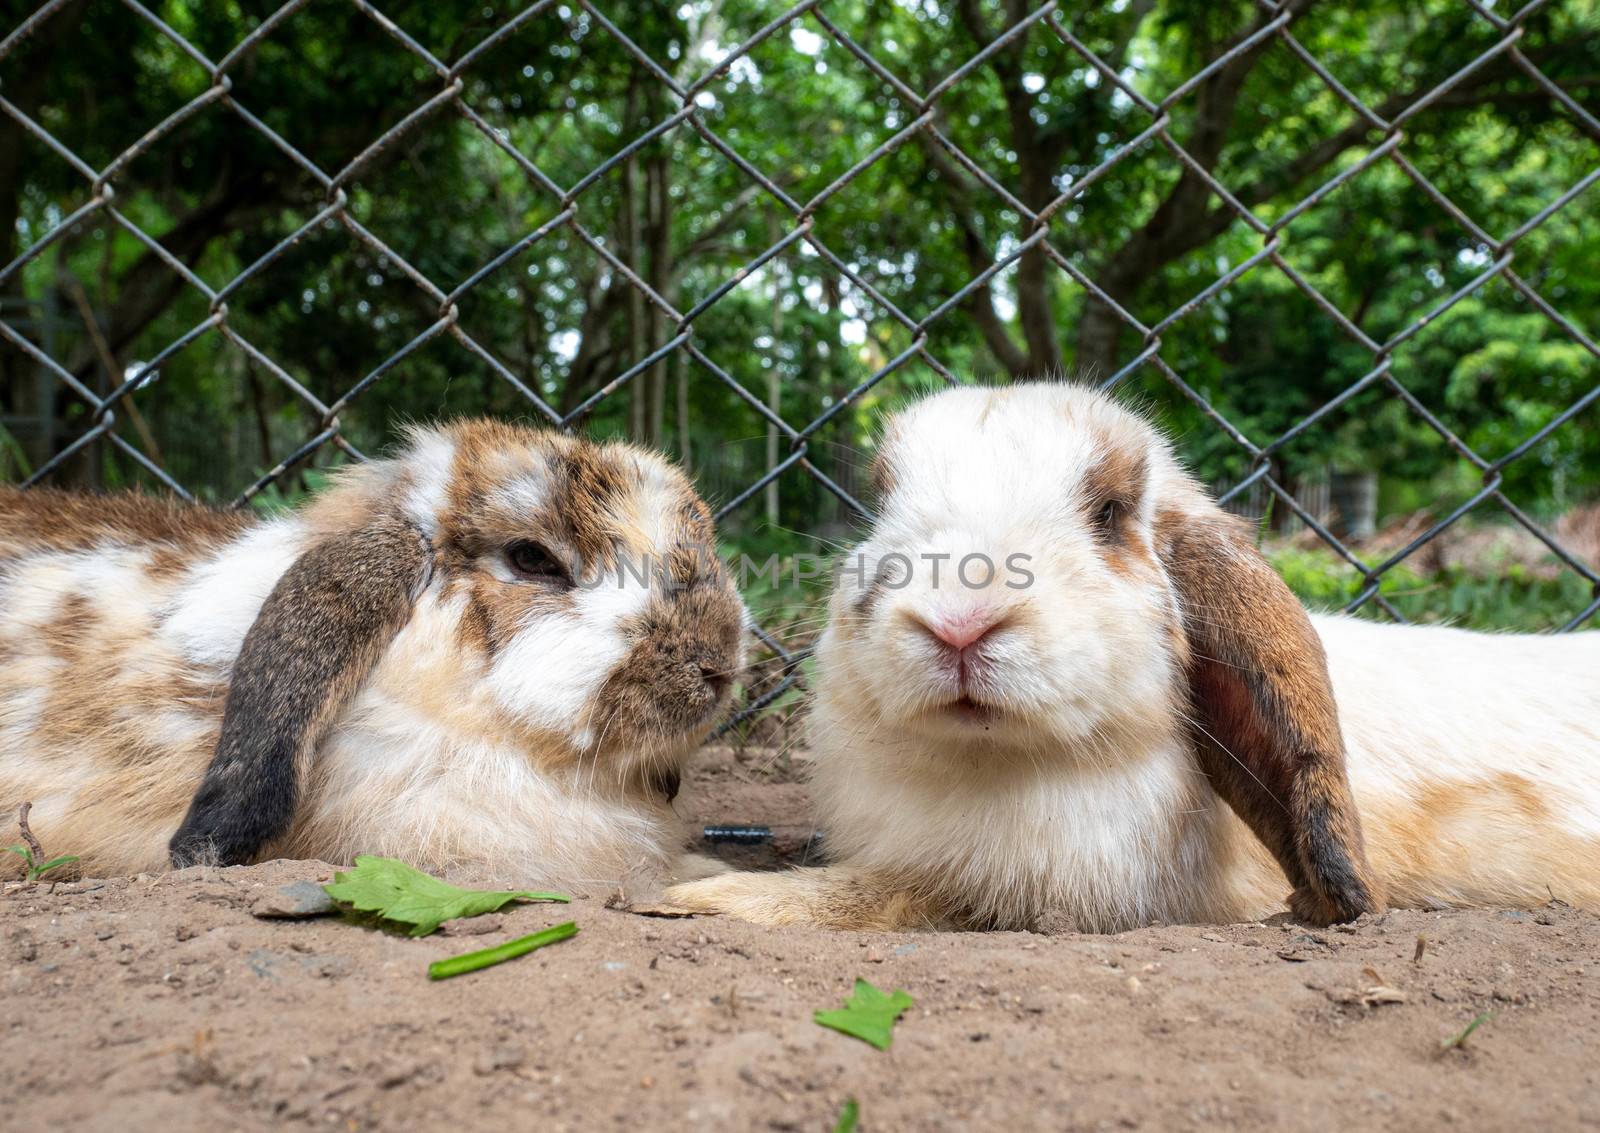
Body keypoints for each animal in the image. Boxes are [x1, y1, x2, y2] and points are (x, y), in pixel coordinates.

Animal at [668, 380, 1600, 928]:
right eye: (881, 496)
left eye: (1111, 511)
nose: (959, 622)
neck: (985, 764)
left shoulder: (1014, 890)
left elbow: (878, 893)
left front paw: (703, 893)